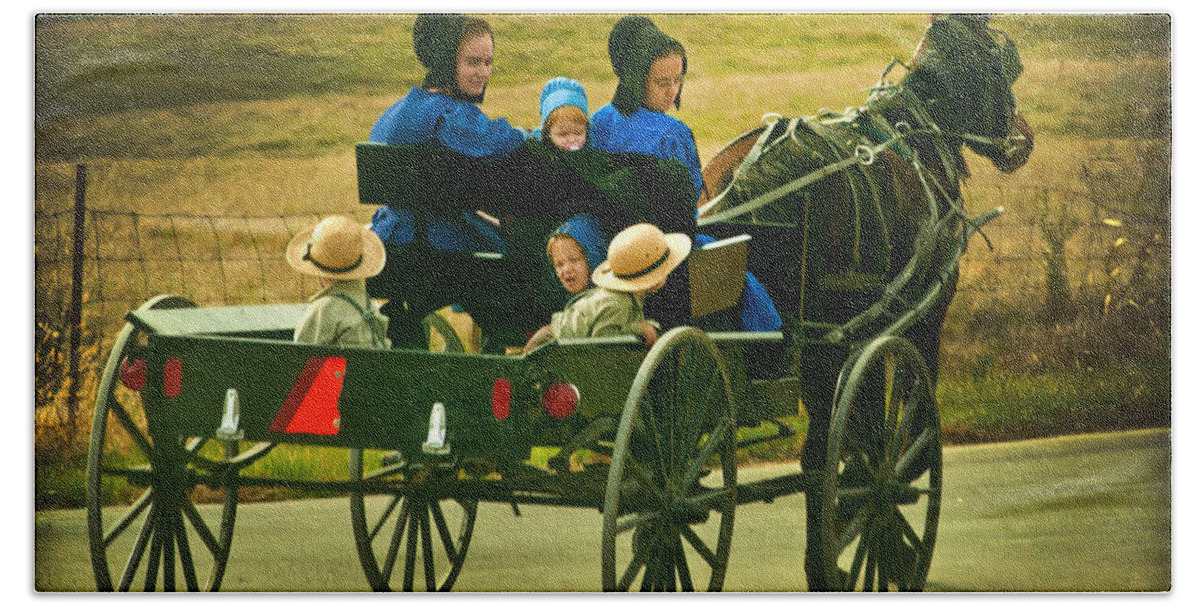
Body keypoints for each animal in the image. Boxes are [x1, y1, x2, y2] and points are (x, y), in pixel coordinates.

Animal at [700, 14, 1036, 592]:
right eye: (1003, 62)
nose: (1024, 136)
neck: (918, 132)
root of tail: (745, 184)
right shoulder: (913, 315)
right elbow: (896, 420)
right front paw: (890, 511)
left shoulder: (862, 330)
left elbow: (862, 426)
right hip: (826, 339)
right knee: (816, 456)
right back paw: (827, 561)